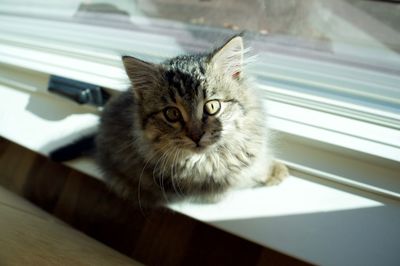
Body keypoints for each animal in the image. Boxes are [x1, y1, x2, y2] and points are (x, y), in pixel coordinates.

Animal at [50, 34, 288, 208]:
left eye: (212, 106)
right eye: (172, 114)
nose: (196, 136)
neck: (209, 158)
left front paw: (273, 168)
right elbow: (244, 178)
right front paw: (272, 172)